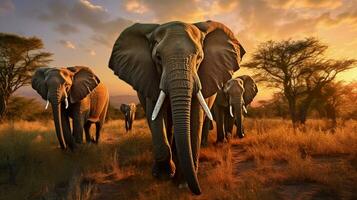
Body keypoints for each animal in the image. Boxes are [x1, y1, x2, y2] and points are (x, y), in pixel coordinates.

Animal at [108, 20, 245, 194]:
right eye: (158, 58)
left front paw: (182, 183)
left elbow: (195, 119)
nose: (199, 191)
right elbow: (157, 117)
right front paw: (164, 175)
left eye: (199, 58)